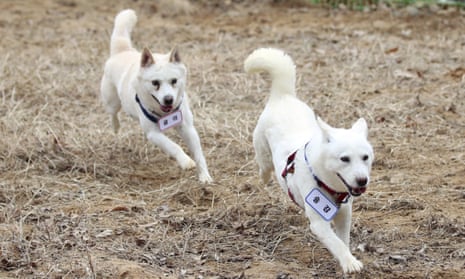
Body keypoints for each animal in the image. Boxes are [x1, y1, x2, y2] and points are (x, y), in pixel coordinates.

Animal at [101, 9, 212, 184]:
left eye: (174, 81)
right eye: (155, 83)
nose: (168, 99)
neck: (165, 113)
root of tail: (123, 50)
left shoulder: (187, 127)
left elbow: (199, 153)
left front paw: (204, 176)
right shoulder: (154, 133)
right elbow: (173, 146)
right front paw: (185, 161)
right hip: (111, 101)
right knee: (113, 113)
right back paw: (116, 127)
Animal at [243, 47, 374, 274]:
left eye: (365, 157)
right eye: (344, 159)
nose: (362, 180)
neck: (327, 183)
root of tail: (283, 96)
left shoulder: (344, 214)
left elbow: (343, 240)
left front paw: (346, 258)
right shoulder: (319, 222)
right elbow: (336, 243)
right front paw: (350, 263)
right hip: (262, 149)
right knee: (264, 166)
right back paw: (265, 177)